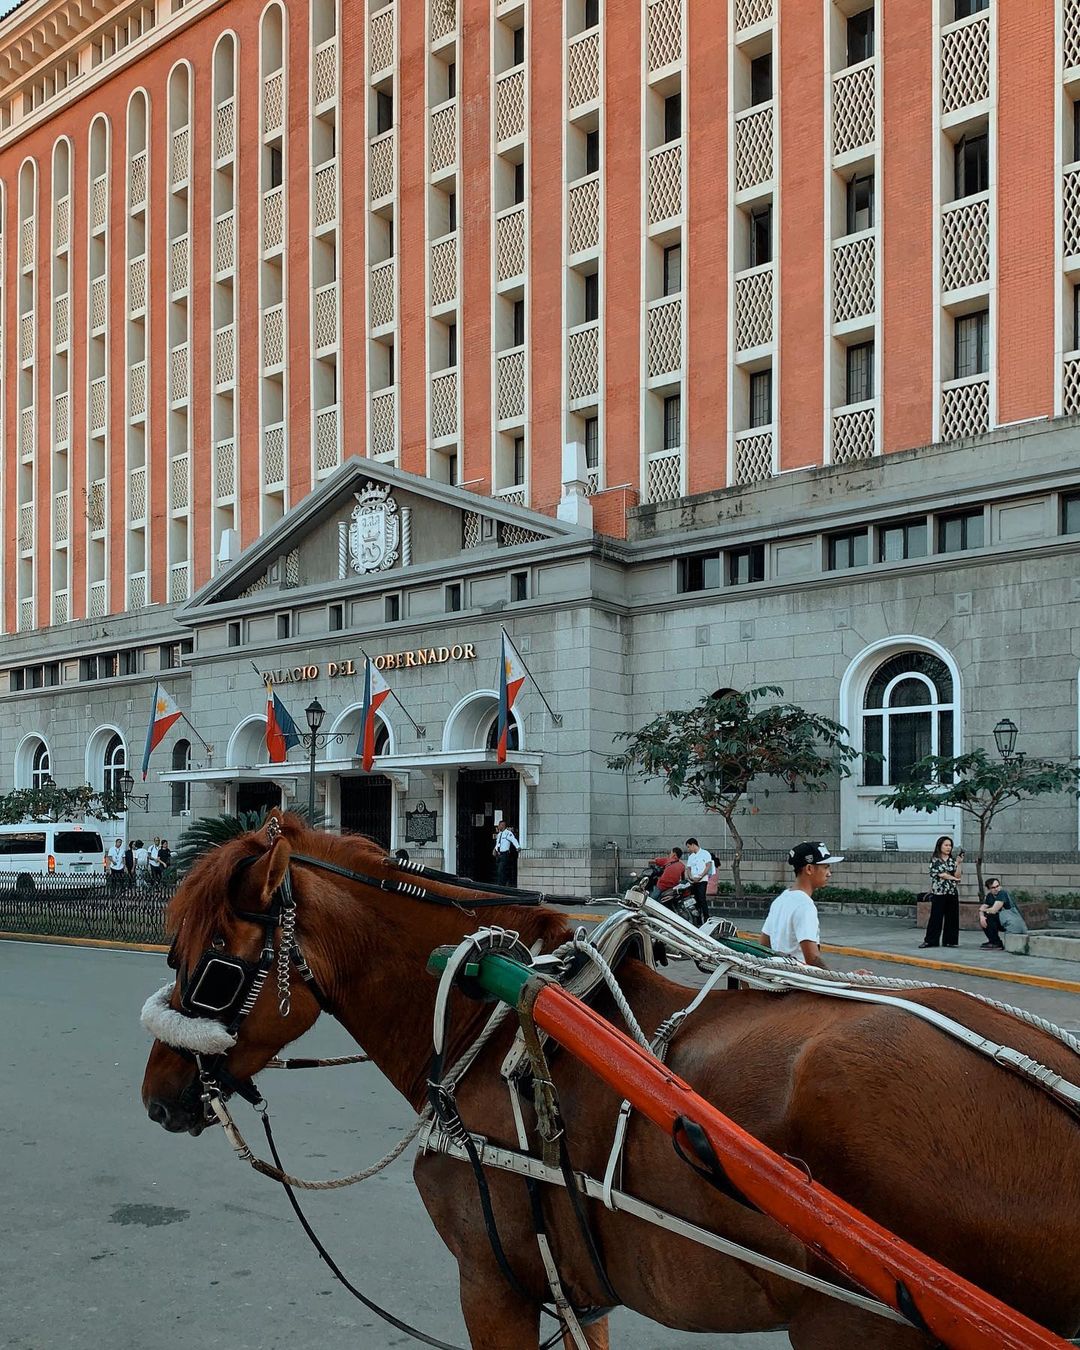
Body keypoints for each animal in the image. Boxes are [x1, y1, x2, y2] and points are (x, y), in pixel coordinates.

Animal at [141, 815, 1080, 1344]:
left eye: (214, 970)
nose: (157, 1094)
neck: (481, 1013)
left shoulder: (493, 1283)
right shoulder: (577, 1284)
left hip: (854, 1324)